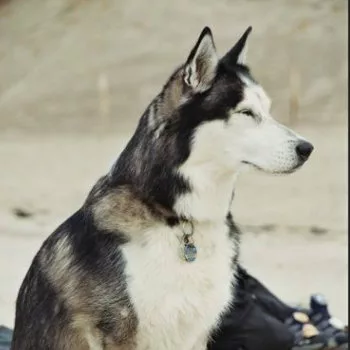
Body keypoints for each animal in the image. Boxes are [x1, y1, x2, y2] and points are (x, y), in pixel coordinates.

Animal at [11, 27, 312, 350]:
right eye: (246, 113)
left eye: (267, 110)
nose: (307, 148)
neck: (177, 217)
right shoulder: (120, 332)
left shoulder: (197, 330)